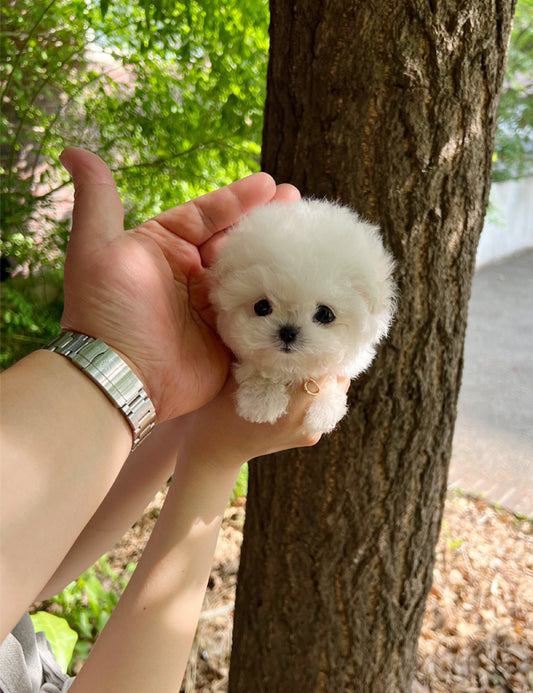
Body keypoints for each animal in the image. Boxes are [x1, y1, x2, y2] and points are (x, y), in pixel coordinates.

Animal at [208, 197, 394, 432]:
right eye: (262, 307)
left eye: (325, 314)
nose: (288, 332)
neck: (291, 368)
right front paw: (261, 399)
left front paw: (325, 411)